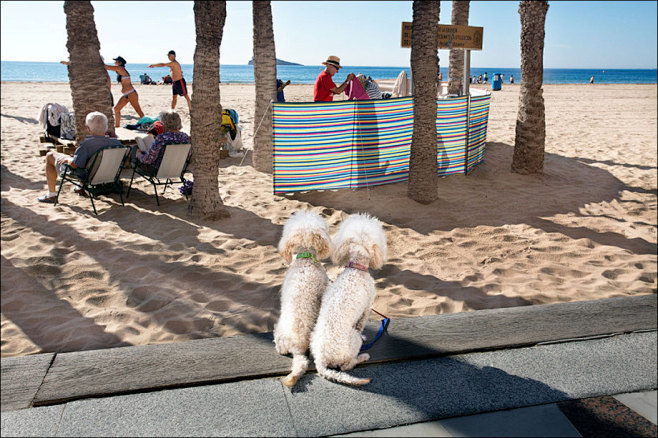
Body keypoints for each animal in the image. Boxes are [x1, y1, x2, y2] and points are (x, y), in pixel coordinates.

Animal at [308, 214, 384, 384]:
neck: (356, 269)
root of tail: (321, 360)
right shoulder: (367, 307)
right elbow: (360, 325)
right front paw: (363, 335)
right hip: (352, 342)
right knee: (346, 366)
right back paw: (362, 356)